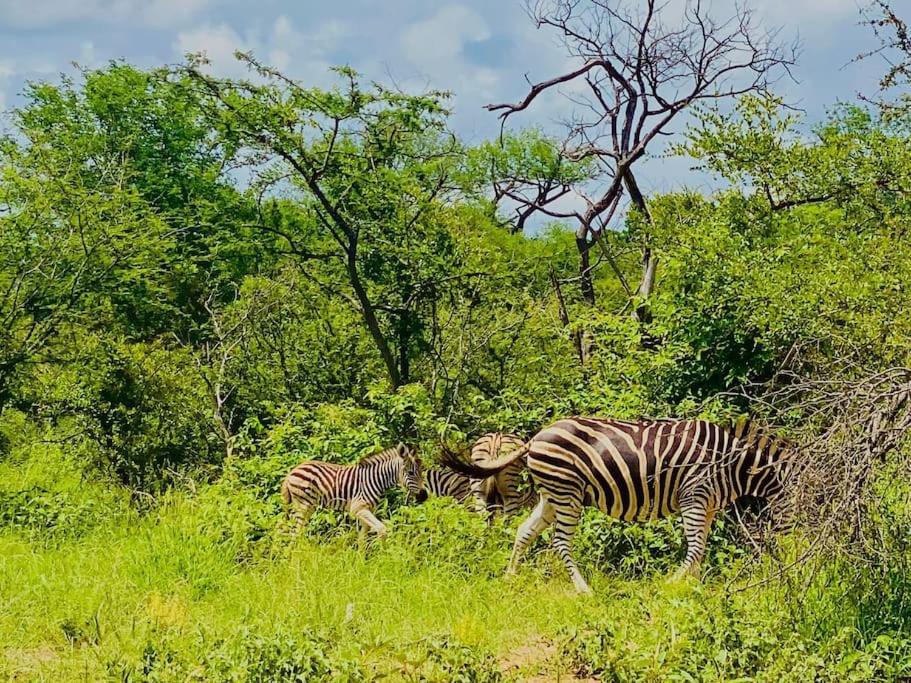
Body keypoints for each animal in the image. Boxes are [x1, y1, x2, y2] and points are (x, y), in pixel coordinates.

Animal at [282, 446, 428, 544]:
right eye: (410, 473)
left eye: (421, 471)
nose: (424, 496)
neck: (375, 480)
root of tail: (291, 472)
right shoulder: (358, 508)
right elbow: (382, 529)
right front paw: (384, 557)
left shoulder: (366, 510)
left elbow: (362, 538)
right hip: (303, 505)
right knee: (295, 533)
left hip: (307, 507)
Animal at [444, 416, 800, 592]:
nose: (793, 558)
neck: (731, 465)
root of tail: (536, 437)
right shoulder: (694, 497)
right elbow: (697, 547)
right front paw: (673, 583)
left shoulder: (709, 504)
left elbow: (701, 547)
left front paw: (694, 587)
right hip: (567, 493)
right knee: (560, 542)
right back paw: (584, 589)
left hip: (551, 493)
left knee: (523, 531)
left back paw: (510, 576)